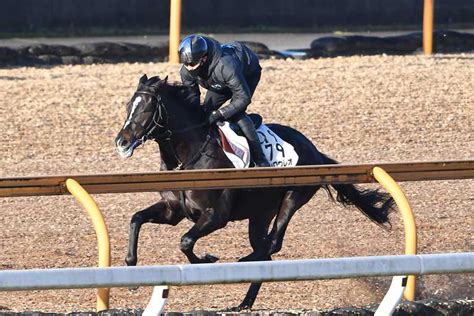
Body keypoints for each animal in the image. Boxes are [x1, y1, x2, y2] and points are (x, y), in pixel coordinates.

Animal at [114, 74, 392, 312]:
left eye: (147, 107)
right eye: (129, 105)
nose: (122, 141)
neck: (189, 157)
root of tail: (315, 151)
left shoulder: (216, 215)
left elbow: (186, 241)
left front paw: (207, 259)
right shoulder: (173, 211)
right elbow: (136, 219)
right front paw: (131, 270)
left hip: (291, 199)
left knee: (273, 244)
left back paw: (245, 262)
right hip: (260, 214)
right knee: (266, 254)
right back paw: (244, 301)